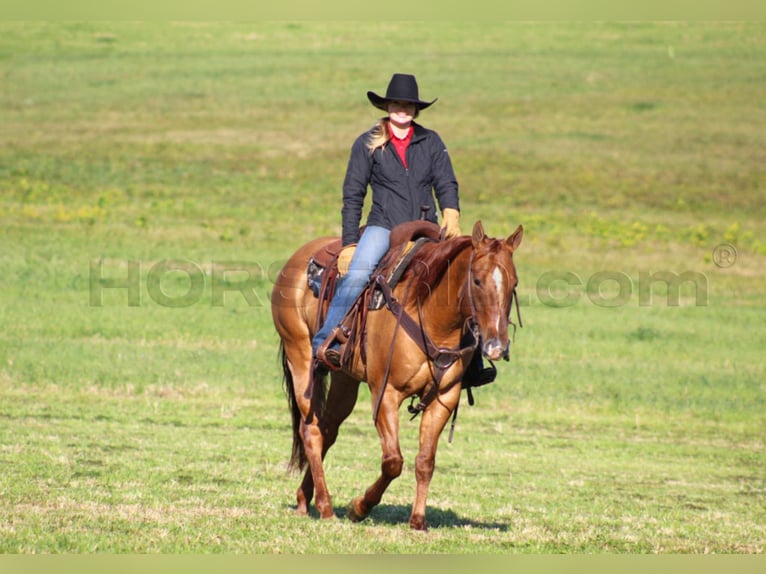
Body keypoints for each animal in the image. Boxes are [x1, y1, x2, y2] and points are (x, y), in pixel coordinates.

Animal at [270, 219, 520, 532]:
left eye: (514, 283)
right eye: (476, 280)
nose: (497, 346)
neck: (430, 314)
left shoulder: (443, 399)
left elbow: (425, 461)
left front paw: (418, 521)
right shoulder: (386, 393)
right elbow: (393, 461)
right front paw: (358, 507)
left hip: (345, 379)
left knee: (328, 429)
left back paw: (306, 498)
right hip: (301, 359)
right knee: (311, 431)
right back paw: (326, 507)